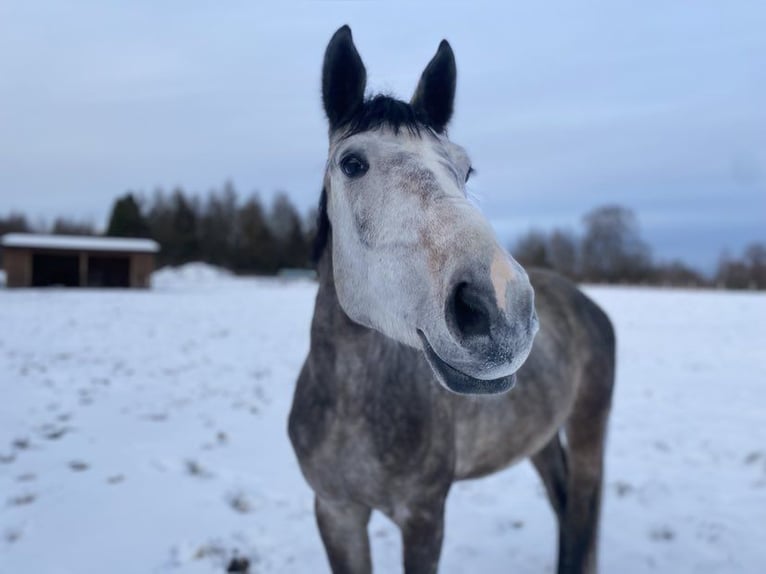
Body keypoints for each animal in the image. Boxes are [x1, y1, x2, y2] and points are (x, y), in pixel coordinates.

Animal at [288, 24, 616, 572]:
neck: (352, 404)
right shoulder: (335, 512)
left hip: (589, 429)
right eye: (352, 164)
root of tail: (589, 306)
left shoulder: (424, 514)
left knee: (579, 522)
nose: (503, 308)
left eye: (466, 170)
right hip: (542, 439)